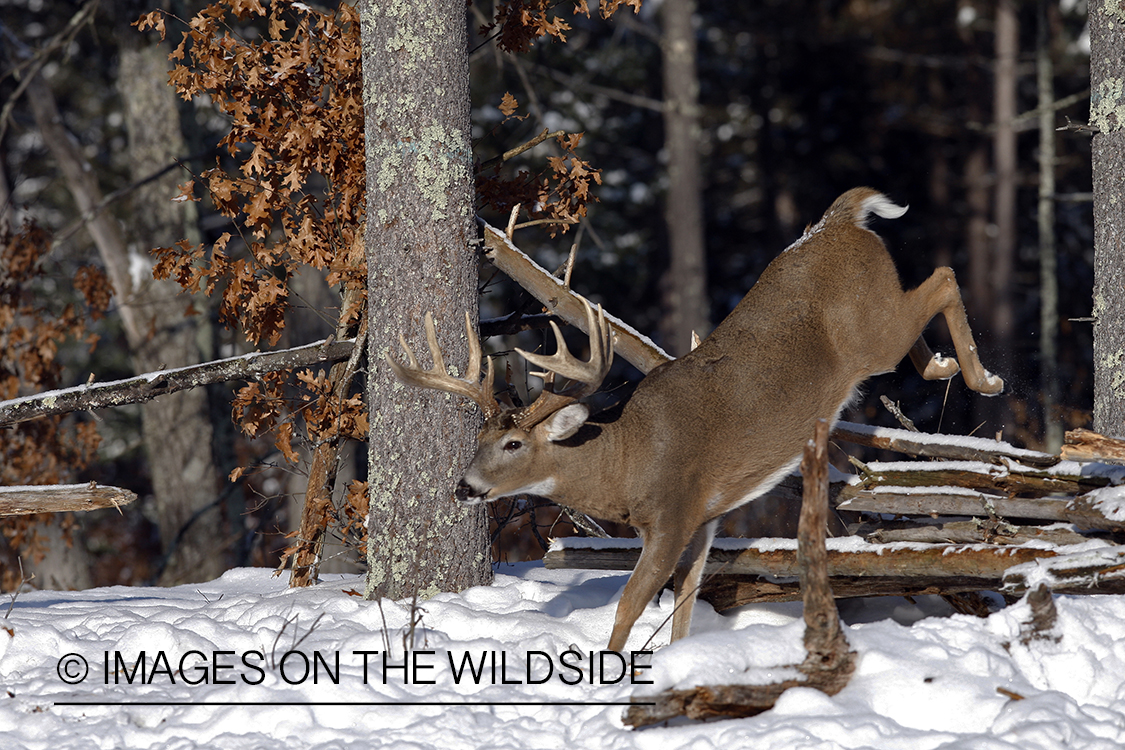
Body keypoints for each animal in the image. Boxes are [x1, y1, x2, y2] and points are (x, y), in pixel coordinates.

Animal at [384, 187, 1003, 652]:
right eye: (479, 437)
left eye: (513, 443)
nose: (464, 487)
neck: (625, 461)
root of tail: (836, 219)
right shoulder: (707, 514)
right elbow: (686, 597)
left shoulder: (674, 511)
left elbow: (631, 603)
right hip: (876, 316)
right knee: (926, 294)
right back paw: (943, 365)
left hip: (869, 338)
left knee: (944, 275)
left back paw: (985, 379)